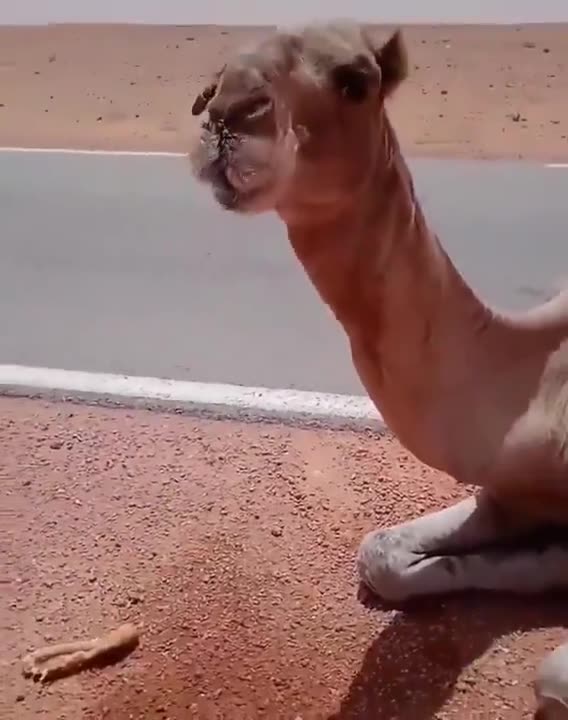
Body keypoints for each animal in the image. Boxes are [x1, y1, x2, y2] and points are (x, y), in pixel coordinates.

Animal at [188, 21, 568, 716]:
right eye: (215, 78)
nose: (229, 113)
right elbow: (379, 552)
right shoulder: (511, 485)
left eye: (355, 81)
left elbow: (549, 675)